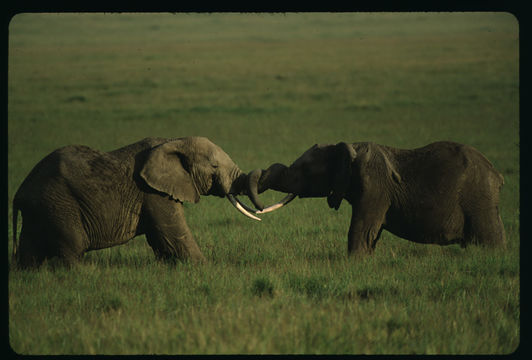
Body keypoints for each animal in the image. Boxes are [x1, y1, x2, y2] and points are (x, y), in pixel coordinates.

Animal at [11, 136, 262, 268]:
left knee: (30, 250)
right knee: (73, 246)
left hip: (42, 208)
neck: (173, 142)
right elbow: (174, 235)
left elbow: (161, 239)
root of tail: (20, 191)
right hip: (60, 204)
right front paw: (205, 267)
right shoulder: (153, 192)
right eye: (214, 166)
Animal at [247, 141, 504, 256]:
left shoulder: (374, 187)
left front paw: (354, 263)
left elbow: (362, 230)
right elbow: (371, 232)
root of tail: (497, 174)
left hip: (479, 198)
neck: (348, 147)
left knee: (489, 240)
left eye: (305, 171)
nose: (259, 208)